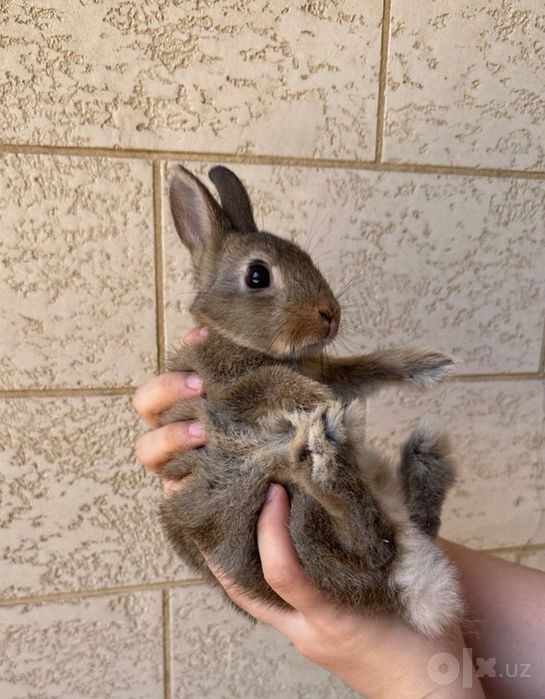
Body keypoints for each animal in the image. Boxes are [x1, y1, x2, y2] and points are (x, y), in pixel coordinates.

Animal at [159, 164, 462, 637]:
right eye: (258, 276)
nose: (330, 314)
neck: (236, 337)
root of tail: (410, 593)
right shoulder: (224, 390)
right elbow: (269, 383)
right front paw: (321, 400)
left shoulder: (331, 368)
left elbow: (365, 367)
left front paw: (426, 364)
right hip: (285, 508)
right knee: (373, 547)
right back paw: (334, 457)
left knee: (404, 532)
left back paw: (419, 456)